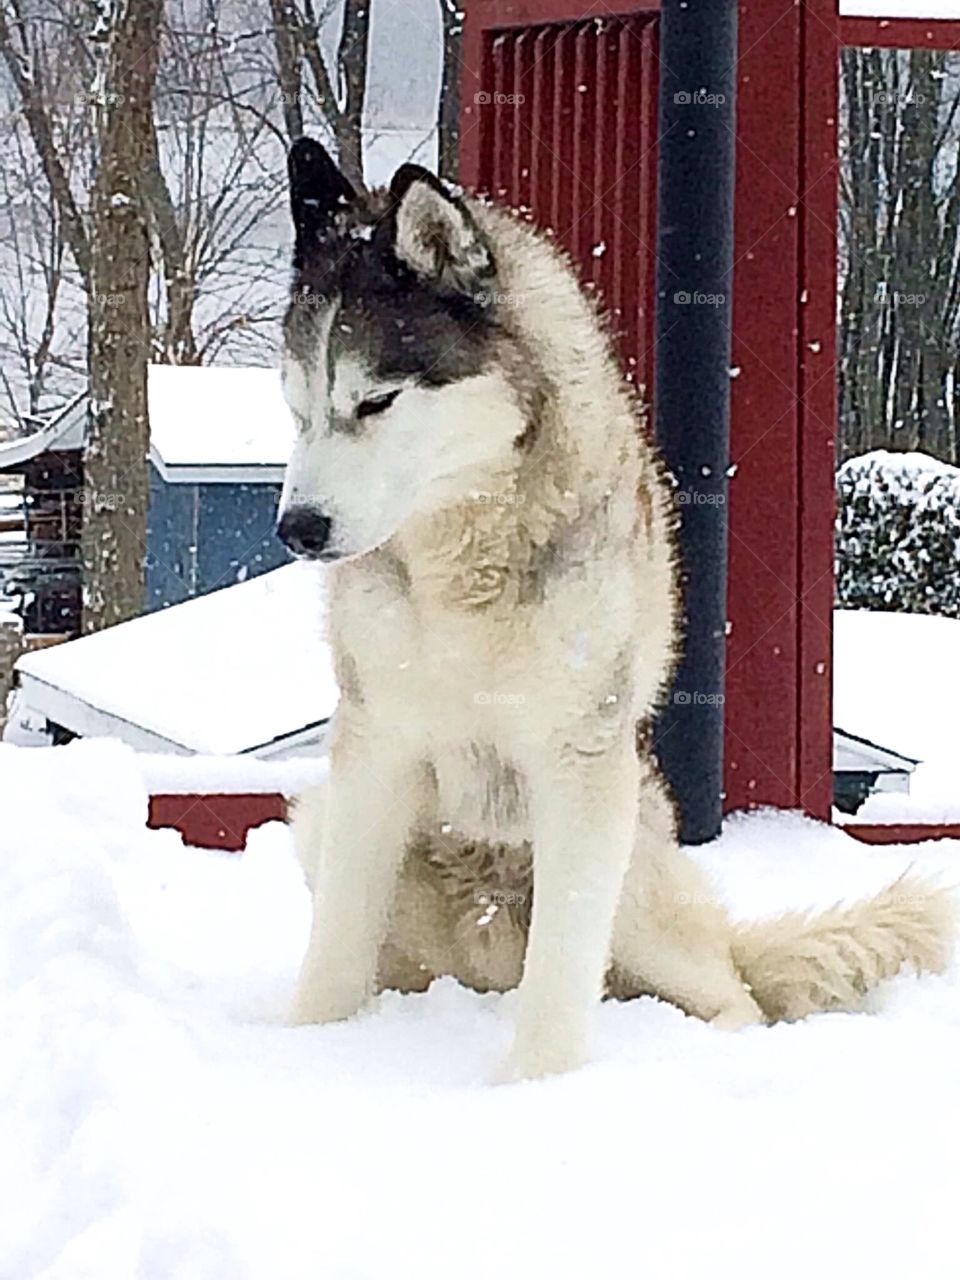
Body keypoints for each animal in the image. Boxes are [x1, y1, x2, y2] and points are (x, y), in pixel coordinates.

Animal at [277, 140, 957, 1080]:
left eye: (375, 401)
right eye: (297, 408)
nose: (296, 527)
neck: (466, 556)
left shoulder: (581, 760)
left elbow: (562, 974)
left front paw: (532, 1089)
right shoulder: (376, 746)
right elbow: (335, 952)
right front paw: (305, 1053)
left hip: (635, 867)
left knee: (730, 993)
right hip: (322, 827)